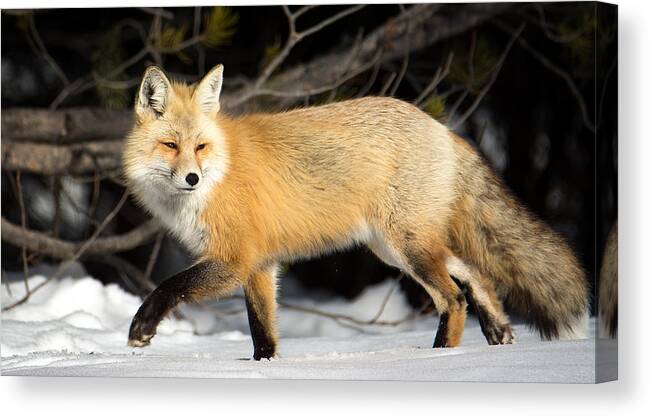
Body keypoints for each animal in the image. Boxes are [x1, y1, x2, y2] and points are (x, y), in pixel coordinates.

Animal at [123, 64, 592, 358]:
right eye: (170, 145)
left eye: (200, 147)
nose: (192, 179)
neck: (219, 173)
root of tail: (442, 127)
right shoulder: (260, 265)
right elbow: (263, 333)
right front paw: (265, 368)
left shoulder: (235, 258)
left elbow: (171, 286)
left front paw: (142, 329)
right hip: (395, 246)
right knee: (474, 273)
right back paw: (498, 332)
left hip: (406, 246)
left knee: (454, 298)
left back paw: (440, 358)